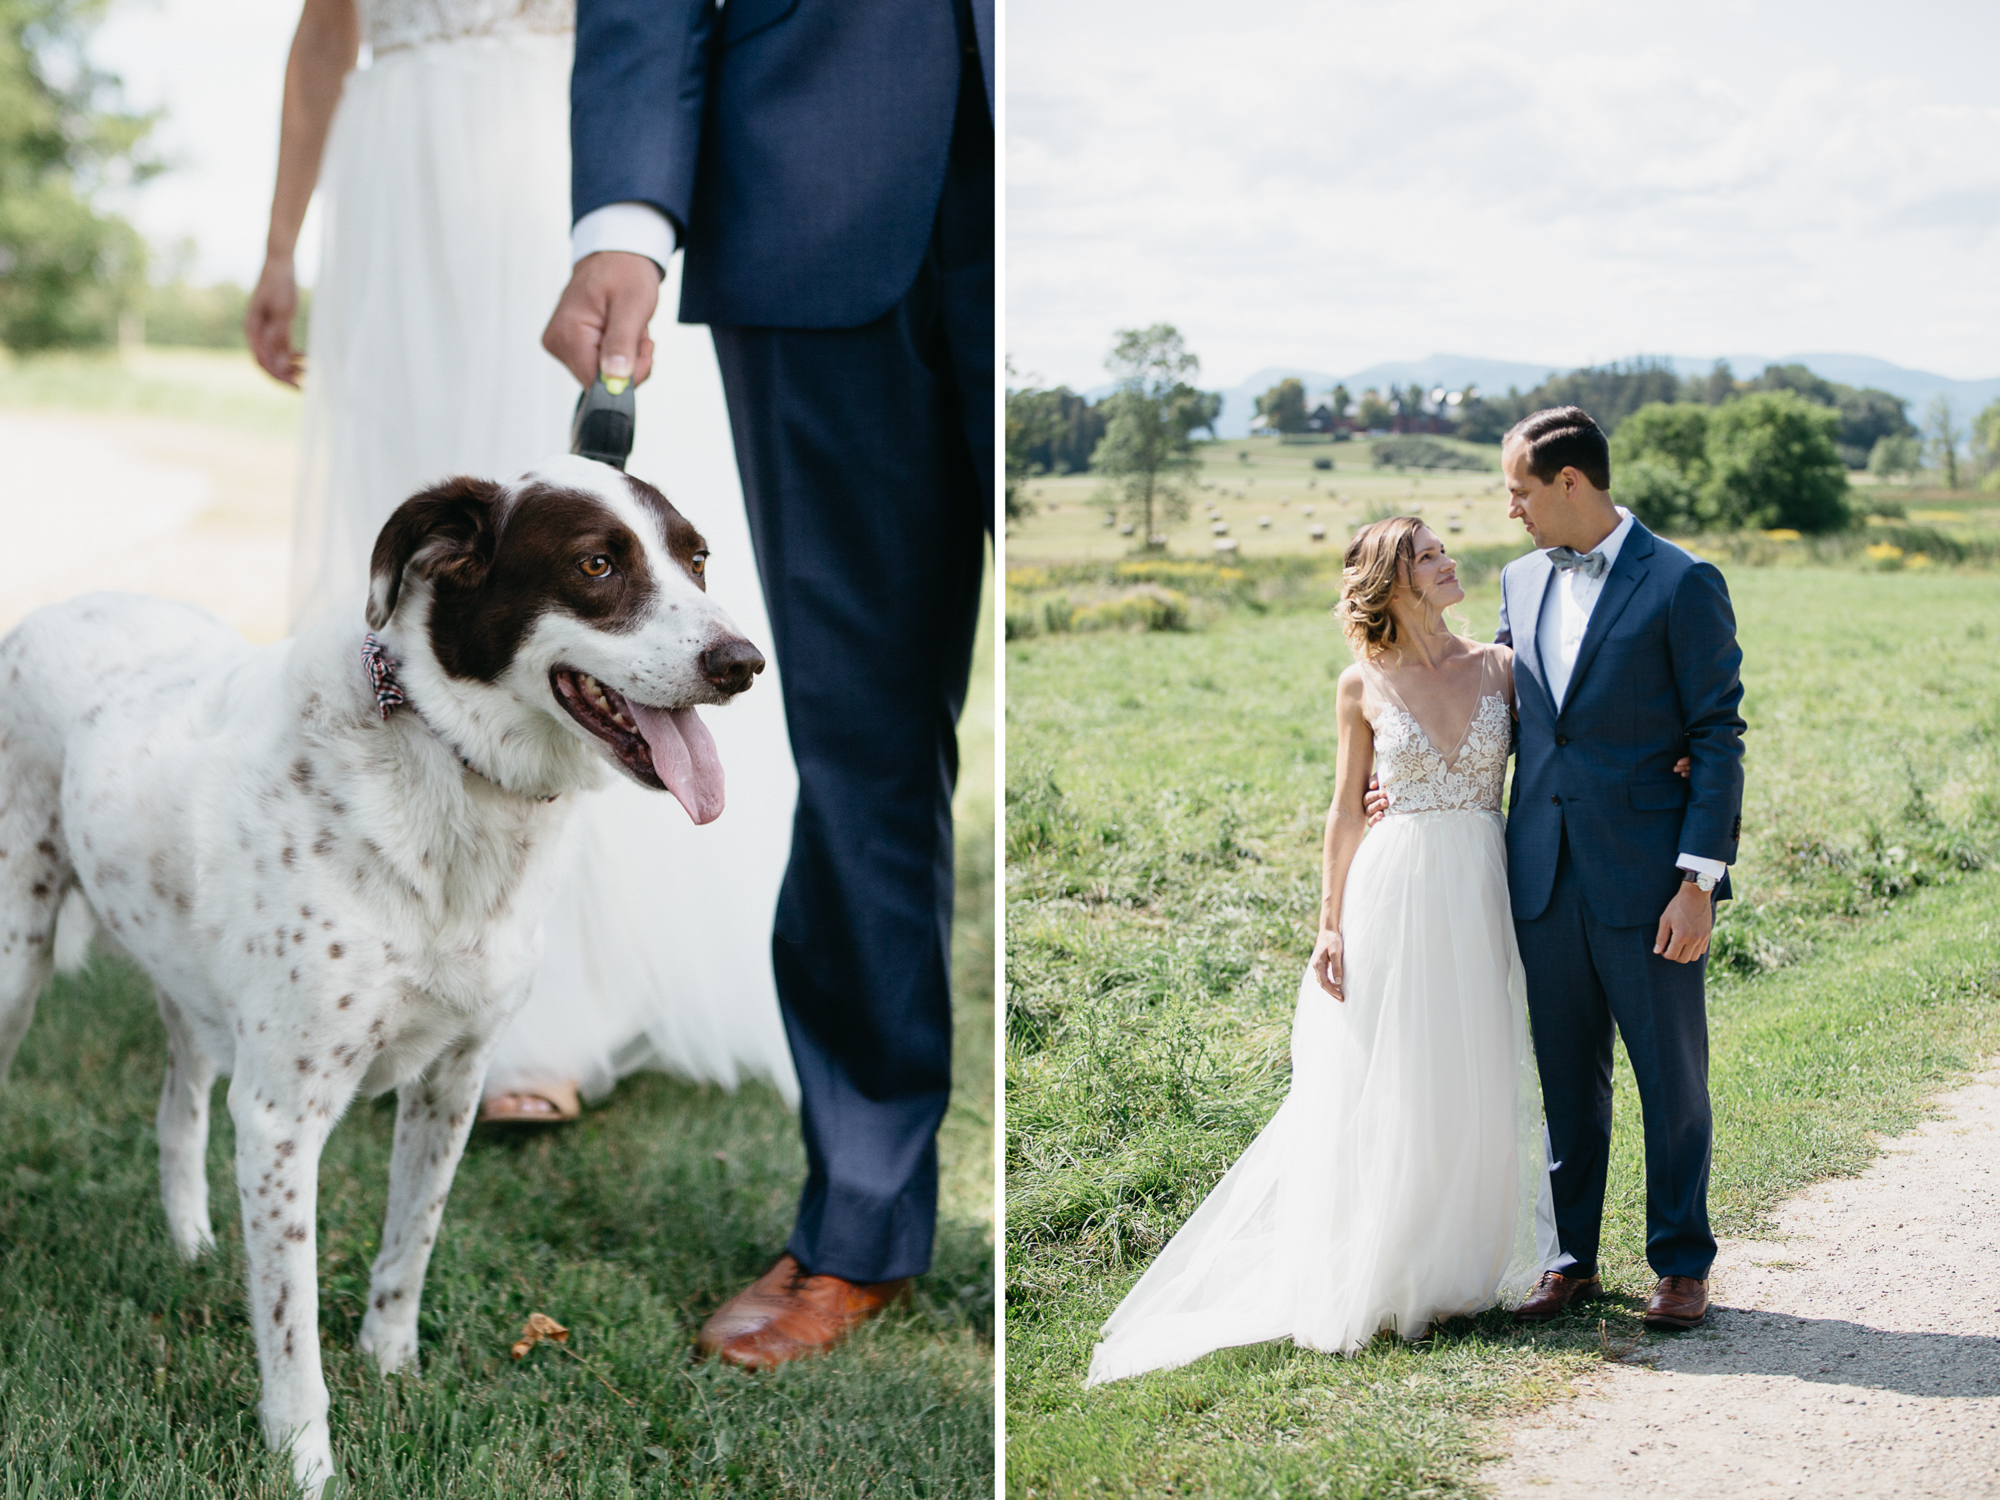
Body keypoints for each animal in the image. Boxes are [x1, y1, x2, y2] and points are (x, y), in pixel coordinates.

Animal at [0, 456, 760, 1496]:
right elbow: (290, 1331)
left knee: (177, 1106)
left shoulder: (456, 1077)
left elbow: (411, 1243)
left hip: (190, 984)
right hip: (15, 959)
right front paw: (305, 1464)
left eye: (698, 558)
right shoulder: (281, 1116)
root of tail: (55, 607)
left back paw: (191, 1244)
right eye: (597, 564)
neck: (449, 770)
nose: (743, 662)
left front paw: (392, 1371)